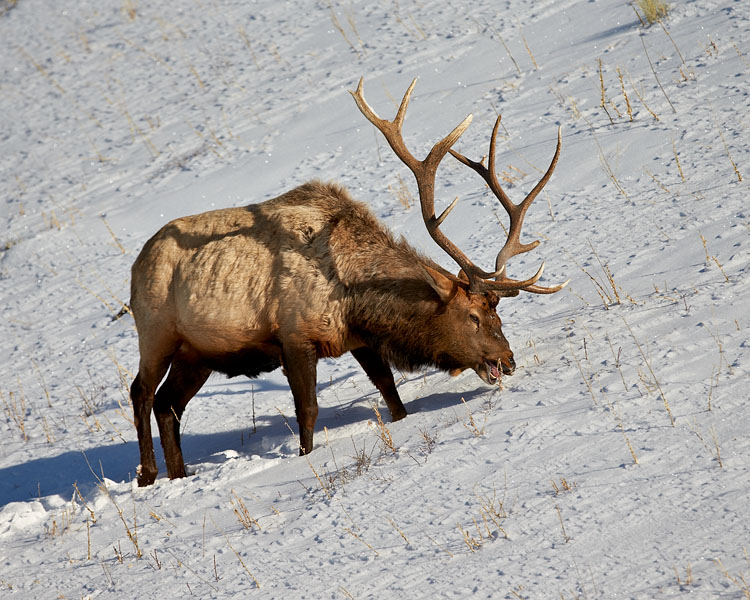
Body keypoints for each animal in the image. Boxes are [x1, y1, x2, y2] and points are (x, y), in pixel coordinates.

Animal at [129, 78, 568, 488]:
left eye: (498, 315)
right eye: (473, 316)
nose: (508, 360)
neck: (356, 298)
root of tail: (135, 265)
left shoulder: (358, 339)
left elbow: (390, 391)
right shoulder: (295, 337)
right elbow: (308, 411)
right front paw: (306, 458)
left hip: (198, 352)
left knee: (169, 405)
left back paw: (179, 475)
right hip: (156, 331)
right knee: (142, 392)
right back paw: (147, 475)